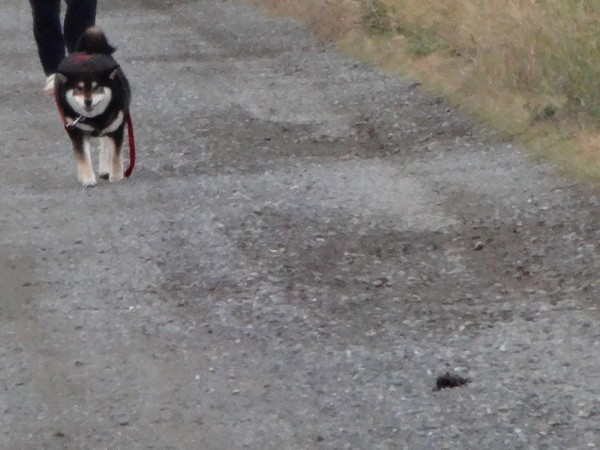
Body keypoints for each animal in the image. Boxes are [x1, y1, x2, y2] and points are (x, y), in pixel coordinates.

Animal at [55, 26, 131, 187]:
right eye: (79, 89)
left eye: (97, 88)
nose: (88, 101)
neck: (95, 118)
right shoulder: (76, 131)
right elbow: (82, 155)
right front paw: (87, 178)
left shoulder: (117, 128)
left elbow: (116, 154)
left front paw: (116, 176)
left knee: (106, 144)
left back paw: (105, 169)